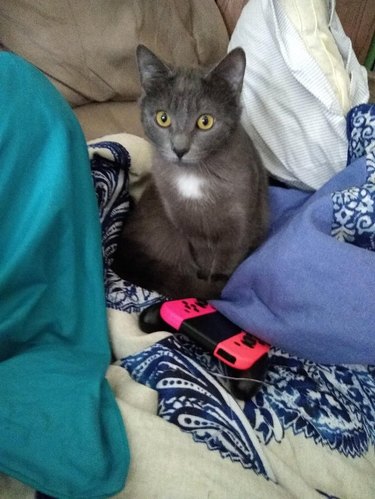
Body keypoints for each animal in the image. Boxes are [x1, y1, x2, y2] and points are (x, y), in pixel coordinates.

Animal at [113, 45, 268, 298]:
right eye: (162, 118)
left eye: (206, 121)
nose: (179, 149)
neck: (194, 177)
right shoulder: (188, 229)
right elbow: (202, 257)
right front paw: (205, 286)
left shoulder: (239, 226)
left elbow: (227, 260)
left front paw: (216, 286)